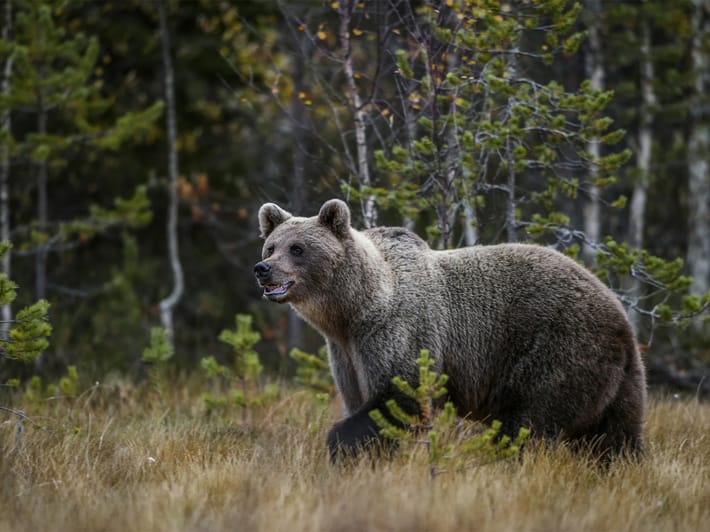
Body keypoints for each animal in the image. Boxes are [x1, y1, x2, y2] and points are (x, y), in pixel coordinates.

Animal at [254, 198, 646, 461]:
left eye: (298, 248)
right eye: (271, 245)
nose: (263, 268)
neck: (353, 310)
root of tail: (620, 315)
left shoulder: (397, 331)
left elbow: (400, 396)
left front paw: (342, 447)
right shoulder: (345, 354)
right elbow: (359, 400)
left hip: (557, 350)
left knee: (528, 422)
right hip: (618, 380)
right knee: (615, 435)